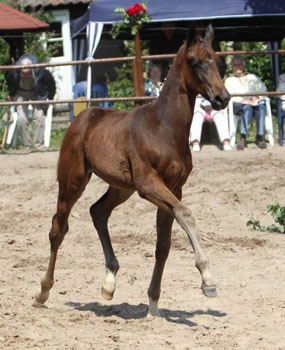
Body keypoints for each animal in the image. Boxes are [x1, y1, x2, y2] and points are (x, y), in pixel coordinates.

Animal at [35, 23, 231, 316]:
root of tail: (82, 118)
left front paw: (153, 304)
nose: (222, 98)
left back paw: (109, 283)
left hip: (120, 188)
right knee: (58, 228)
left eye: (216, 60)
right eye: (195, 62)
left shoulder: (174, 188)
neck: (164, 128)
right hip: (72, 181)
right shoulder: (148, 185)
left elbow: (163, 245)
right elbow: (186, 215)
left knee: (98, 212)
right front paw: (208, 281)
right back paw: (43, 292)